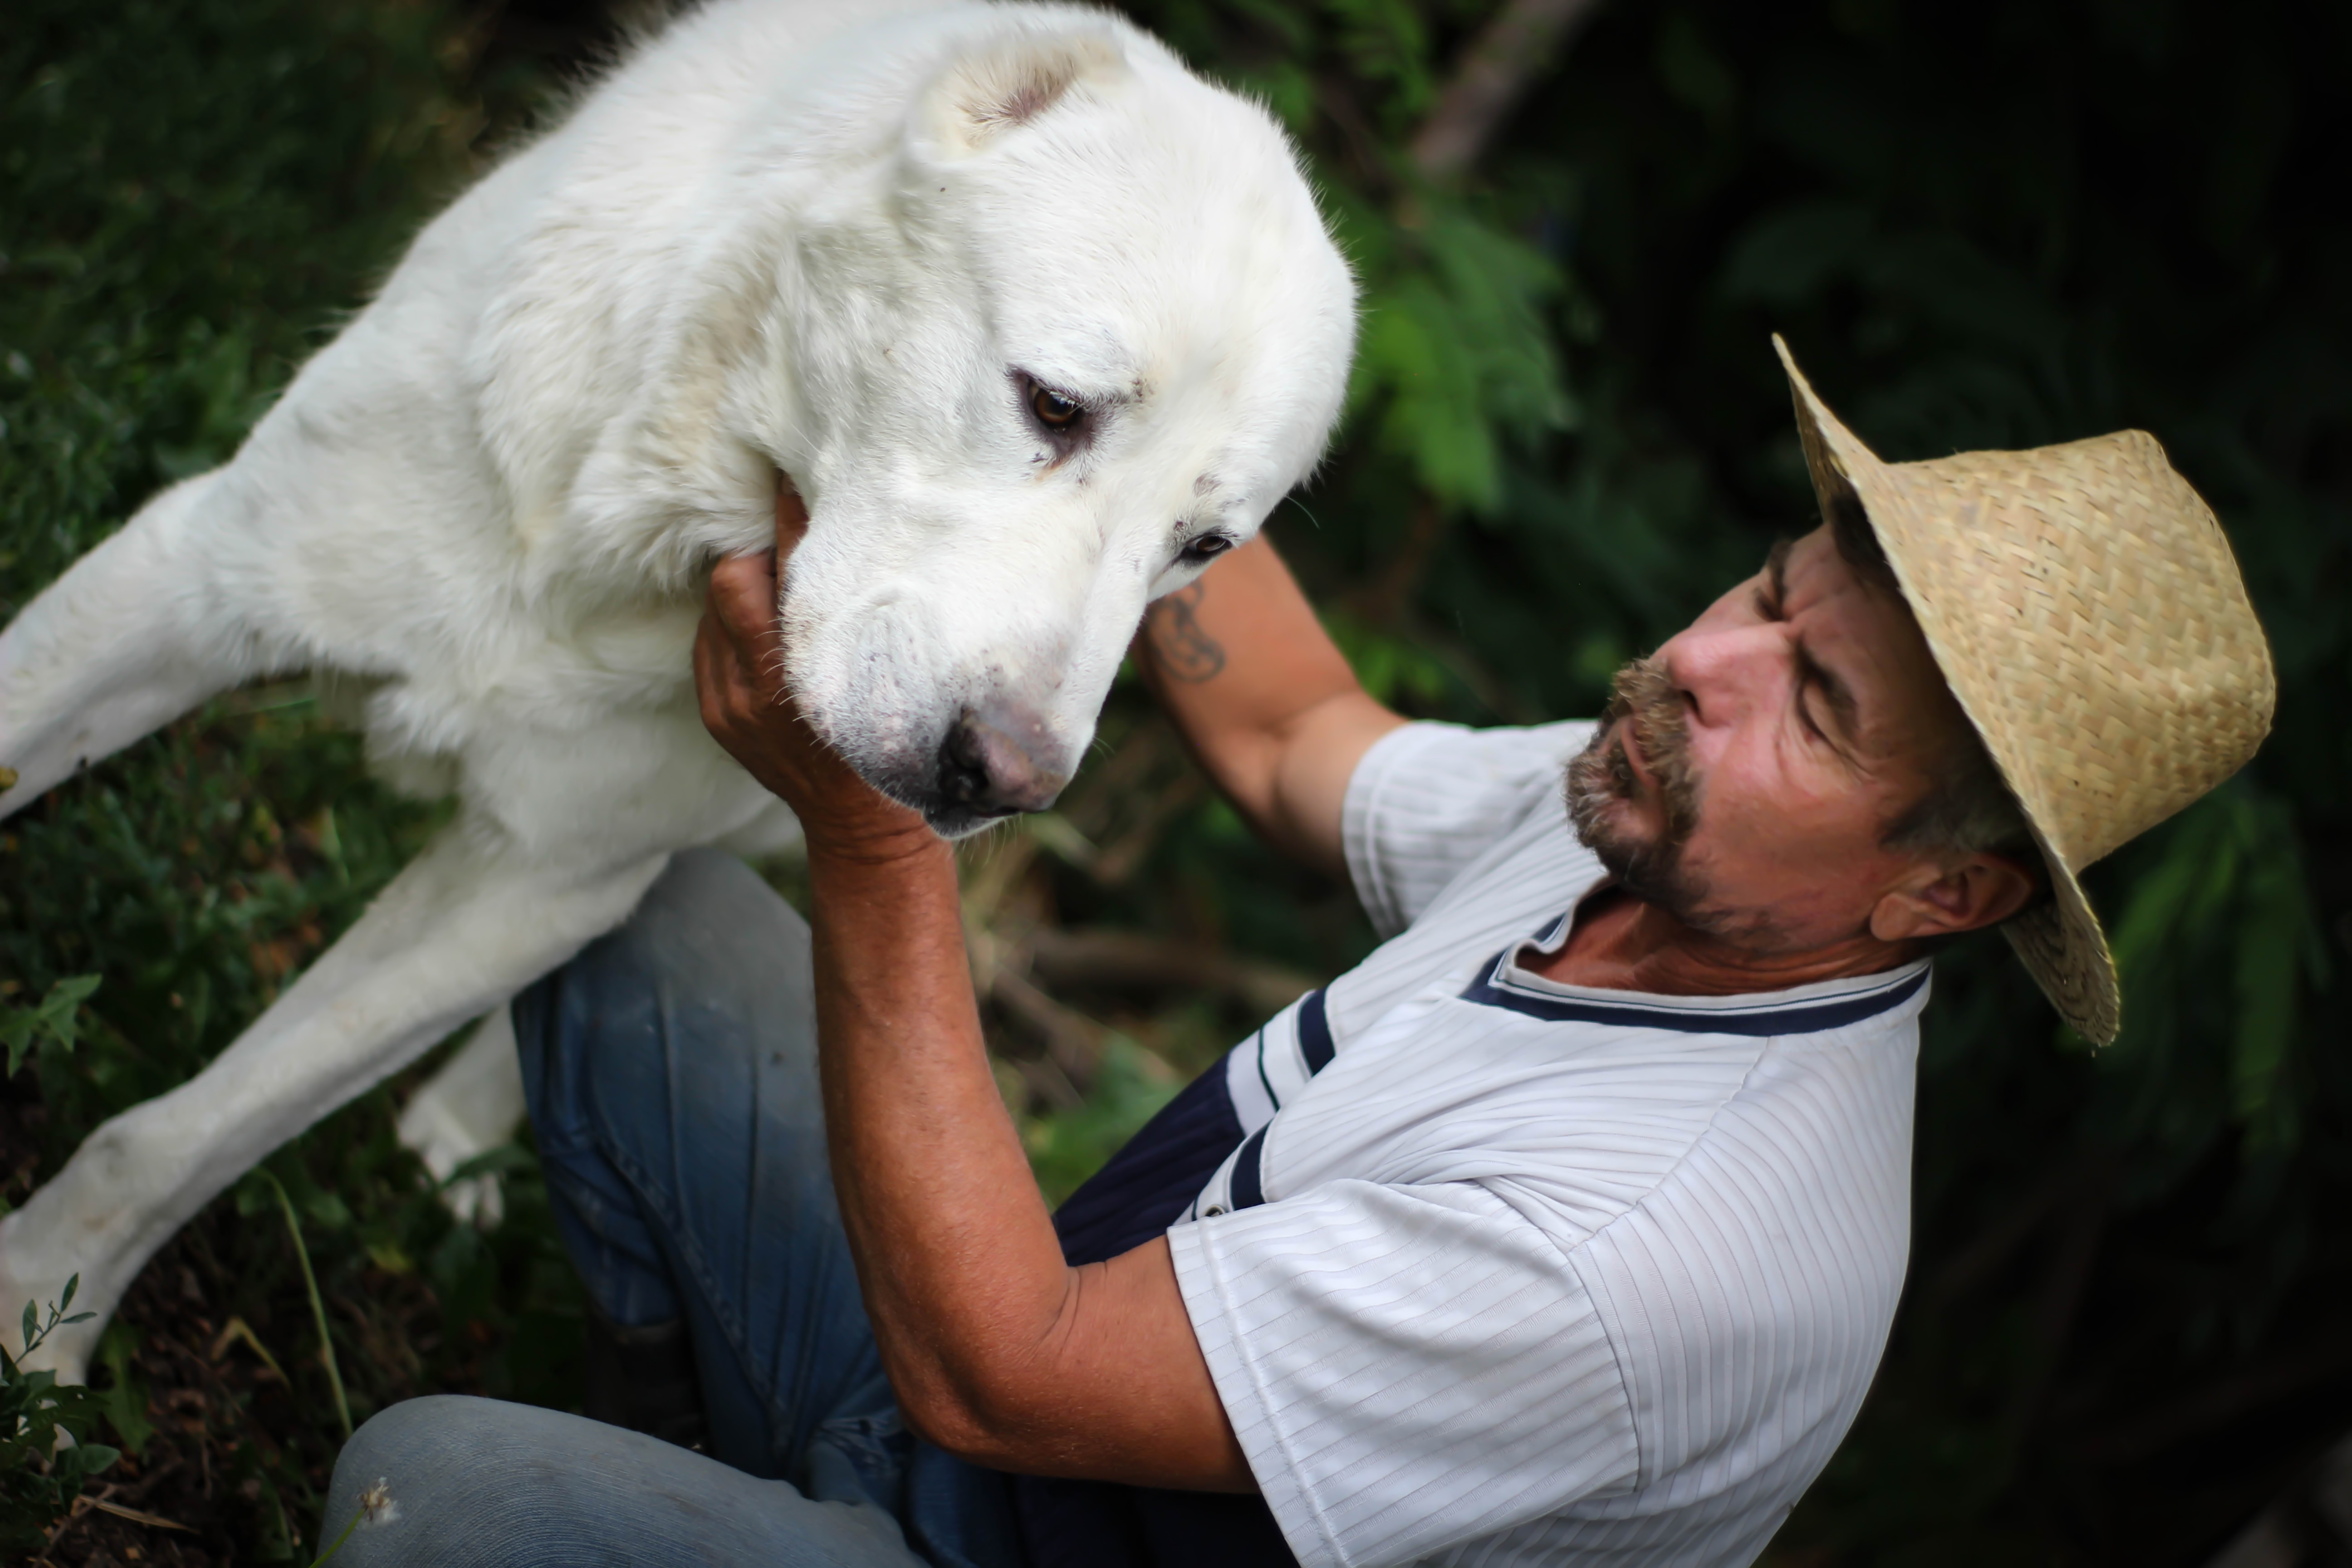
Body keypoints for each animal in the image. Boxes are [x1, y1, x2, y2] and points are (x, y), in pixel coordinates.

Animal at [0, 0, 1354, 1372]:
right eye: (1055, 404)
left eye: (1203, 548)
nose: (1005, 781)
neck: (636, 526)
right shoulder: (186, 581)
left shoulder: (538, 880)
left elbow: (172, 1140)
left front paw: (37, 1317)